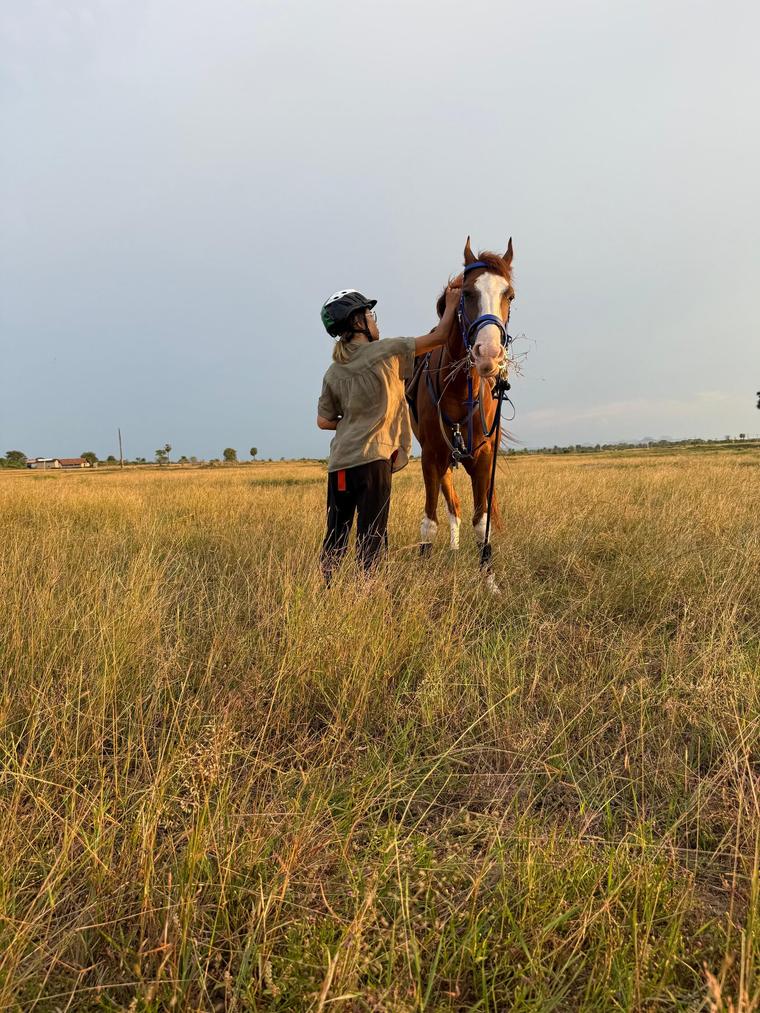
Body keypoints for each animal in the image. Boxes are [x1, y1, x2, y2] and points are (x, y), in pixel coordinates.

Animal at [406, 237, 514, 582]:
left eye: (509, 295)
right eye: (466, 294)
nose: (489, 353)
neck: (457, 390)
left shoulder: (483, 458)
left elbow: (482, 523)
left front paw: (489, 581)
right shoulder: (431, 457)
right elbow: (429, 522)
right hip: (442, 461)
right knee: (451, 503)